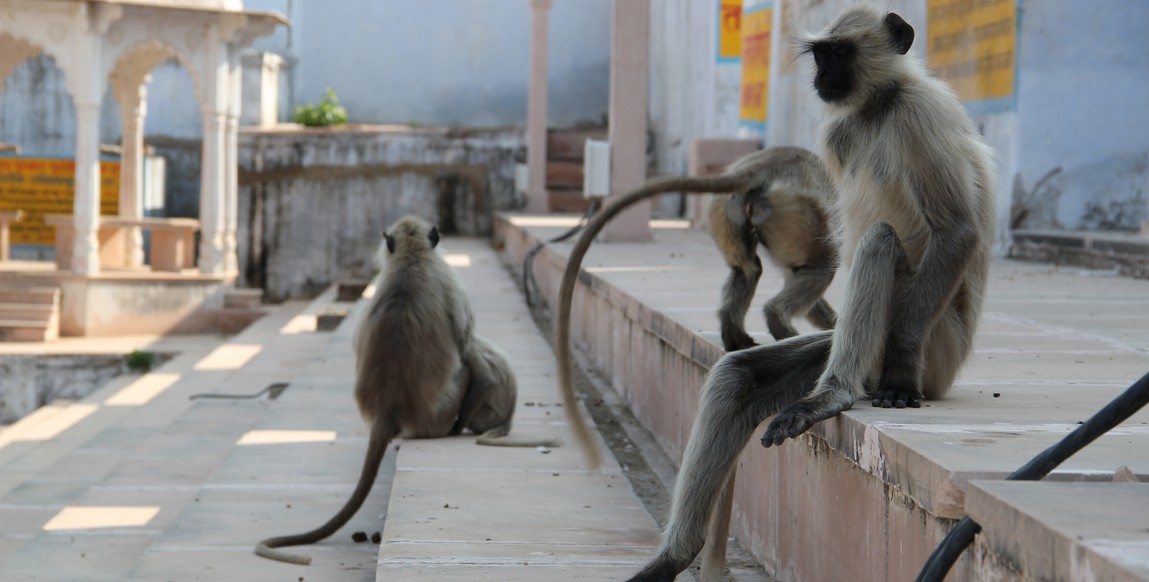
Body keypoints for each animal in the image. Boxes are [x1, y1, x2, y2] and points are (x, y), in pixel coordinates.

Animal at [259, 214, 560, 564]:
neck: (412, 258)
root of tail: (389, 411)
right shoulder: (453, 281)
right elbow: (465, 343)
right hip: (438, 415)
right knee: (466, 364)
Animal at [556, 6, 997, 580]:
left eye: (839, 53)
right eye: (821, 54)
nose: (821, 76)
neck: (877, 106)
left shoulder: (918, 113)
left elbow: (958, 229)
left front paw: (900, 367)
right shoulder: (840, 132)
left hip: (937, 349)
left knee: (878, 240)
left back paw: (833, 394)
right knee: (736, 375)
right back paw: (673, 556)